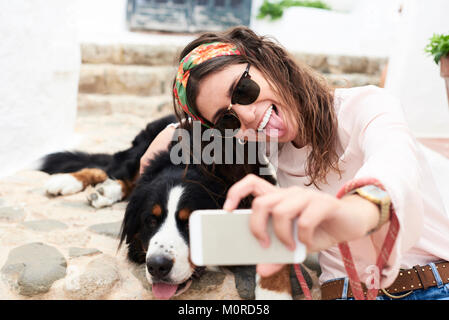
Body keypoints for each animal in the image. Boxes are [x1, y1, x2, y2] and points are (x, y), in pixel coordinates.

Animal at [39, 115, 312, 300]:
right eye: (150, 220)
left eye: (192, 222)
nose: (157, 266)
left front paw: (274, 293)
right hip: (140, 153)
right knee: (114, 168)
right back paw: (72, 183)